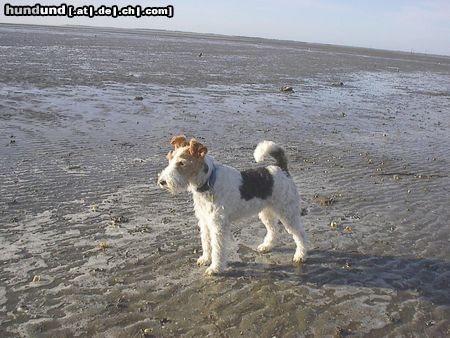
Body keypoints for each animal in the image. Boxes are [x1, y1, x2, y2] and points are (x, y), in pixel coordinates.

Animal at [156, 136, 308, 276]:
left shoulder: (218, 225)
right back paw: (266, 247)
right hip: (266, 212)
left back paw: (300, 256)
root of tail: (281, 168)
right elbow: (206, 243)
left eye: (182, 163)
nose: (162, 182)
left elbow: (217, 248)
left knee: (300, 234)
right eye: (169, 159)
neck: (208, 182)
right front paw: (205, 259)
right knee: (273, 230)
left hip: (288, 213)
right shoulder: (205, 222)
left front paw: (215, 268)